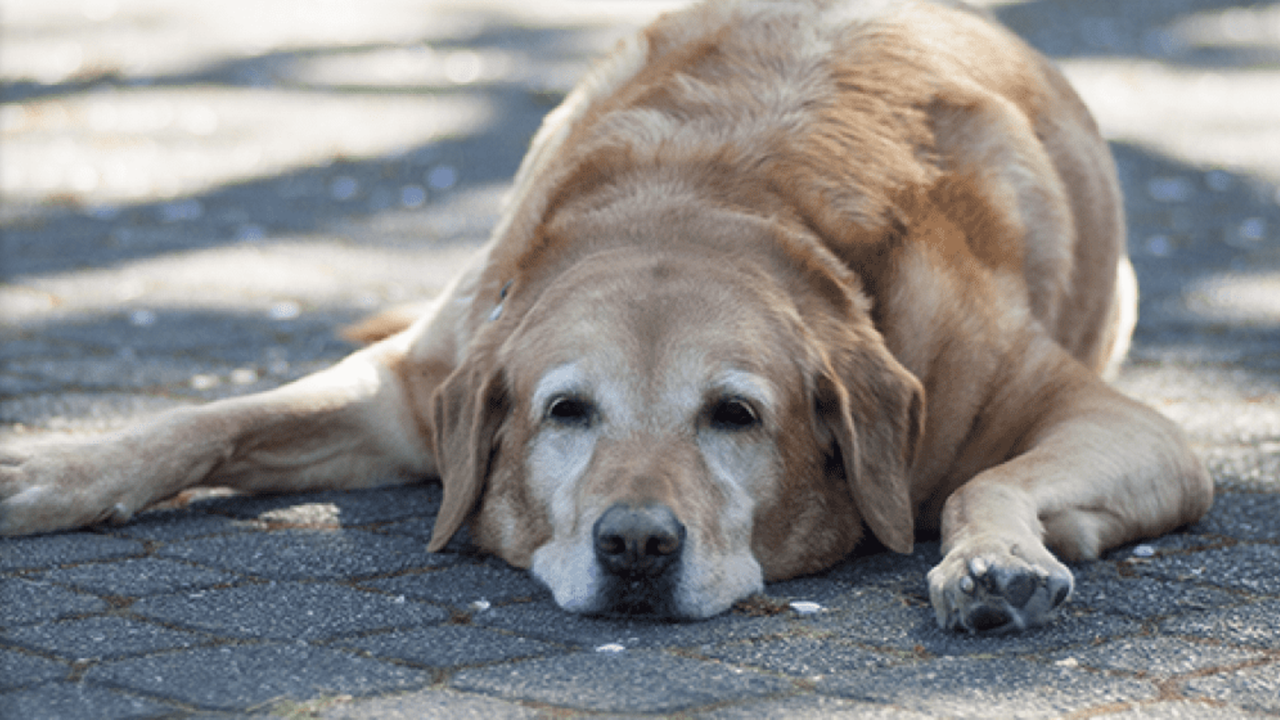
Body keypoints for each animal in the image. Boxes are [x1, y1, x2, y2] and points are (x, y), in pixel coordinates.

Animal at [0, 0, 1208, 627]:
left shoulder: (1131, 427)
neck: (707, 199)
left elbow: (979, 480)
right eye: (565, 412)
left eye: (736, 415)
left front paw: (992, 560)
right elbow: (204, 420)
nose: (634, 545)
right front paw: (56, 469)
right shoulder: (415, 386)